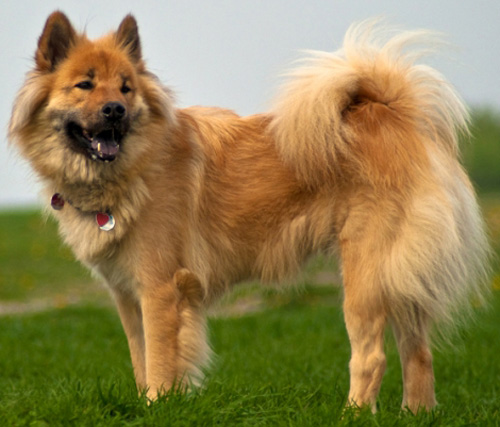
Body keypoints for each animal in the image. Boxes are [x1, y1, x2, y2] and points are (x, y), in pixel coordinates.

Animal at [9, 11, 490, 412]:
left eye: (126, 87)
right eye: (85, 85)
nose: (115, 110)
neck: (133, 169)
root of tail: (395, 114)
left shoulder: (160, 290)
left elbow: (161, 364)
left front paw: (158, 408)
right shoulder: (128, 297)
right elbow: (140, 360)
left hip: (366, 277)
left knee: (371, 357)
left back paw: (353, 416)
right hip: (402, 279)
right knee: (418, 353)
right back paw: (416, 415)